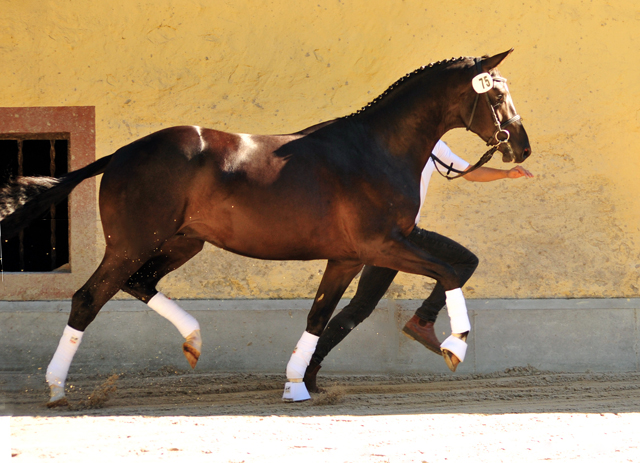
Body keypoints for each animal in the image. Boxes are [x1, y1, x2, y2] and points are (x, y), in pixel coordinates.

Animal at [0, 49, 528, 406]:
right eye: (498, 94)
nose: (521, 147)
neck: (375, 148)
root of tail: (121, 154)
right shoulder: (382, 245)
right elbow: (450, 271)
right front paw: (455, 345)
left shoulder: (349, 256)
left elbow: (320, 315)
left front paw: (297, 383)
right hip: (131, 243)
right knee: (88, 298)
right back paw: (57, 388)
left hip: (181, 242)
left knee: (140, 283)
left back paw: (193, 340)